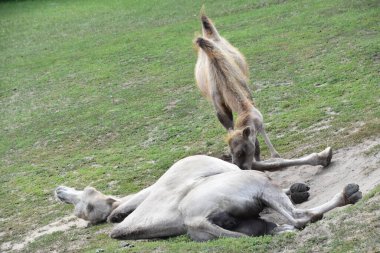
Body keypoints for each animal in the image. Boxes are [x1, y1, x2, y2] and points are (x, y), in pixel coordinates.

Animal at [55, 150, 360, 241]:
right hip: (257, 185)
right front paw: (322, 158)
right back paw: (349, 193)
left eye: (85, 199)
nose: (58, 190)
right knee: (299, 218)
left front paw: (298, 189)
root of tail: (192, 221)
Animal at [196, 12, 280, 170]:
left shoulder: (245, 90)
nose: (241, 167)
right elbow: (229, 125)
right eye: (232, 151)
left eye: (242, 151)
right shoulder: (219, 106)